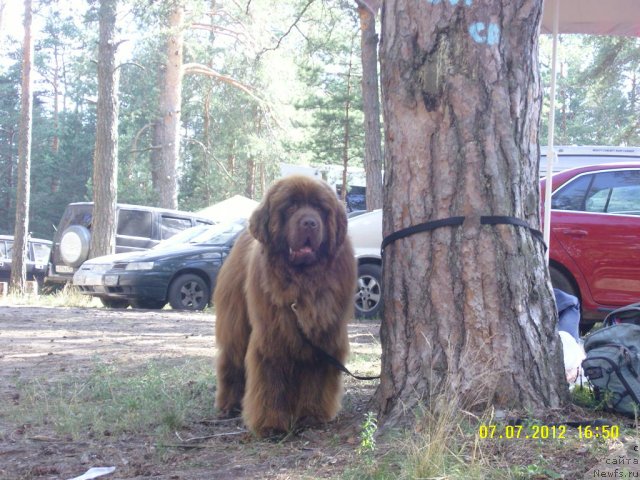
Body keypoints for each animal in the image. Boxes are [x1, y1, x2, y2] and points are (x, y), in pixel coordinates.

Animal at [214, 174, 356, 436]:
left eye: (320, 209)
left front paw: (312, 415)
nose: (310, 223)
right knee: (232, 358)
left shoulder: (324, 335)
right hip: (235, 319)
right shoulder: (273, 334)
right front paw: (271, 424)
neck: (303, 280)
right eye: (291, 207)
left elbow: (316, 375)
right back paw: (228, 405)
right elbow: (271, 379)